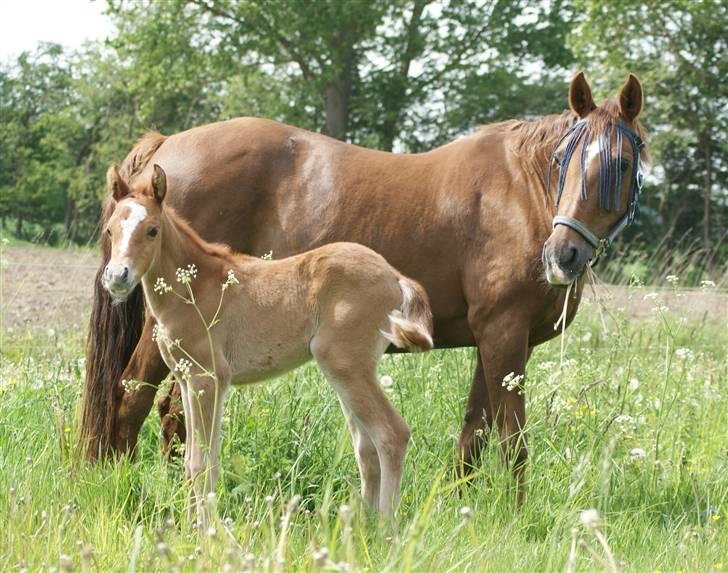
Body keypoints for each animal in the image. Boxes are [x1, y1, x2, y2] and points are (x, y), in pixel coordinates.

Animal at [102, 162, 432, 524]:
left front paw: (206, 531)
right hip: (348, 372)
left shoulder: (209, 378)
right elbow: (191, 462)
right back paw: (364, 525)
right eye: (110, 231)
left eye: (152, 230)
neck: (195, 287)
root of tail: (394, 275)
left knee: (391, 434)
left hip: (346, 366)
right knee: (366, 446)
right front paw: (189, 527)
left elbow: (203, 464)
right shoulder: (187, 379)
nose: (117, 277)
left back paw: (387, 527)